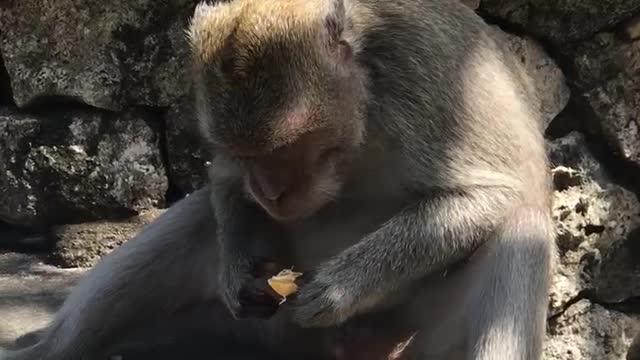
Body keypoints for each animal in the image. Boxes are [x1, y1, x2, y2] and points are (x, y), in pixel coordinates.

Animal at [0, 0, 556, 358]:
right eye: (245, 152)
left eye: (287, 148)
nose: (270, 193)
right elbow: (224, 182)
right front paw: (239, 273)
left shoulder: (426, 83)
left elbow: (490, 196)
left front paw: (338, 289)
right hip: (264, 333)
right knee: (199, 217)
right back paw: (48, 350)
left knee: (520, 227)